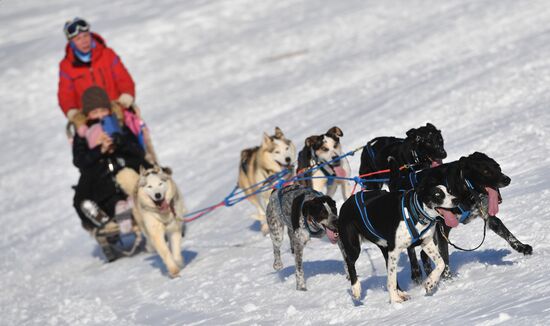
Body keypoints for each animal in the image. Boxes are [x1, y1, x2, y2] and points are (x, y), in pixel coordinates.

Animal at [338, 176, 460, 304]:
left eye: (449, 191)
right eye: (437, 194)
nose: (456, 200)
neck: (414, 212)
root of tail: (346, 203)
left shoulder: (426, 243)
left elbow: (441, 263)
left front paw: (430, 283)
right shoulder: (395, 250)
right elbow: (391, 280)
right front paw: (394, 300)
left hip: (385, 250)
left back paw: (401, 293)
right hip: (354, 247)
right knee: (350, 262)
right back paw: (356, 289)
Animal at [390, 153, 536, 282]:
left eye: (498, 167)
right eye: (486, 171)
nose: (507, 179)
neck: (464, 187)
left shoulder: (488, 216)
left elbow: (507, 233)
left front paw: (522, 247)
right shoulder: (442, 229)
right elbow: (444, 257)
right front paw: (448, 280)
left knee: (423, 255)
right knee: (412, 250)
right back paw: (416, 273)